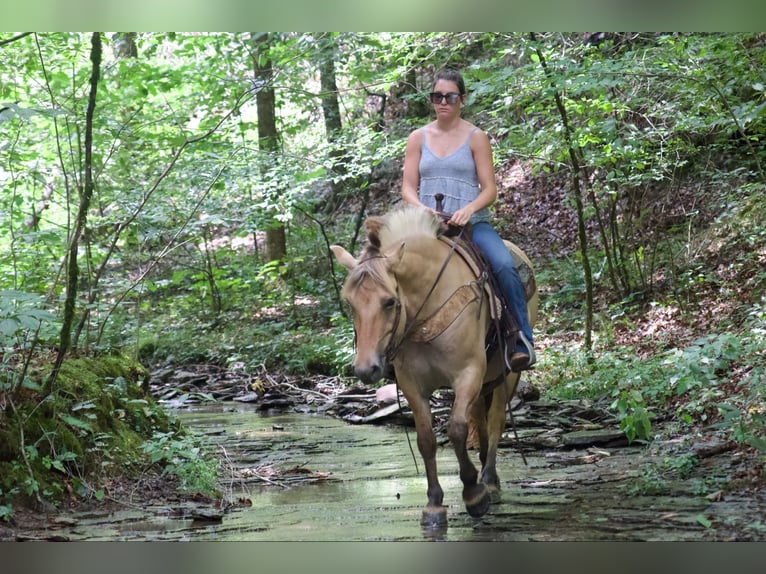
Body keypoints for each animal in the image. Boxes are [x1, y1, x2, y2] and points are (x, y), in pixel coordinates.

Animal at [331, 205, 538, 528]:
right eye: (350, 303)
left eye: (389, 302)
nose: (366, 369)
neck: (428, 307)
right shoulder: (411, 384)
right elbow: (426, 439)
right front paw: (434, 504)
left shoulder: (468, 373)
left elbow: (456, 430)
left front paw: (474, 494)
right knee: (480, 420)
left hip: (508, 374)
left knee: (494, 422)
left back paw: (489, 481)